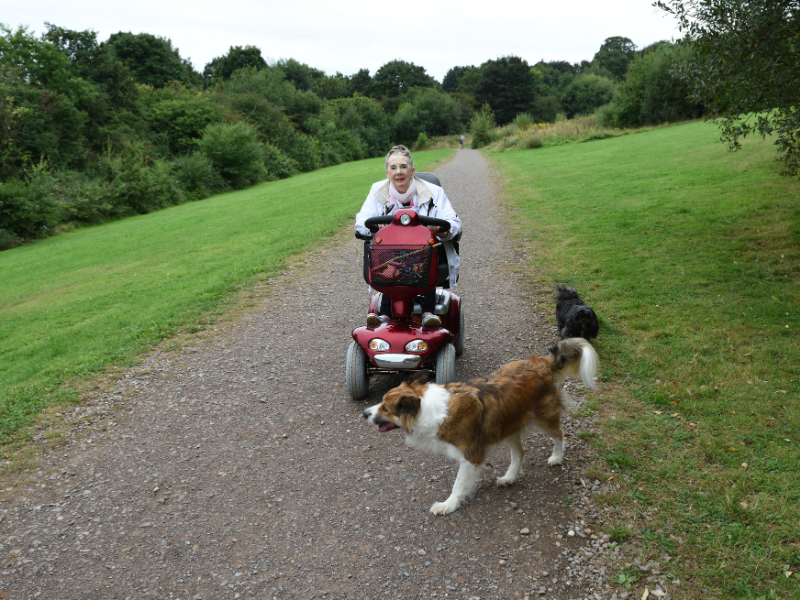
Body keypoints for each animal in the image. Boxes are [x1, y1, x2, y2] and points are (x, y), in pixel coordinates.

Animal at [360, 340, 596, 512]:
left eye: (385, 408)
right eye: (381, 403)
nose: (364, 413)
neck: (428, 407)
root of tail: (542, 363)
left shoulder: (470, 453)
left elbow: (458, 484)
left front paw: (448, 505)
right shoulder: (474, 451)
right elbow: (480, 465)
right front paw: (487, 468)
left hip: (542, 417)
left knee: (559, 435)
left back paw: (556, 457)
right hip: (505, 423)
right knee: (519, 452)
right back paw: (509, 477)